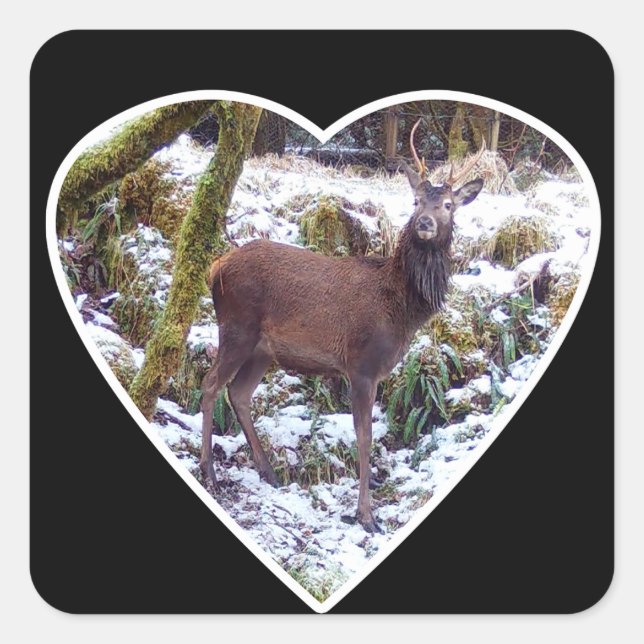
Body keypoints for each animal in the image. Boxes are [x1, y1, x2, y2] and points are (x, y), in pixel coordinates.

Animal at [200, 121, 485, 533]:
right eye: (416, 201)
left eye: (447, 205)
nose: (425, 223)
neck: (401, 311)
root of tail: (215, 267)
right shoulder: (360, 364)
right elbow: (363, 437)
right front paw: (366, 515)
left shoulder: (375, 370)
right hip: (236, 327)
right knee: (210, 384)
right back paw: (209, 472)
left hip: (262, 349)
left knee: (238, 393)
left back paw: (269, 471)